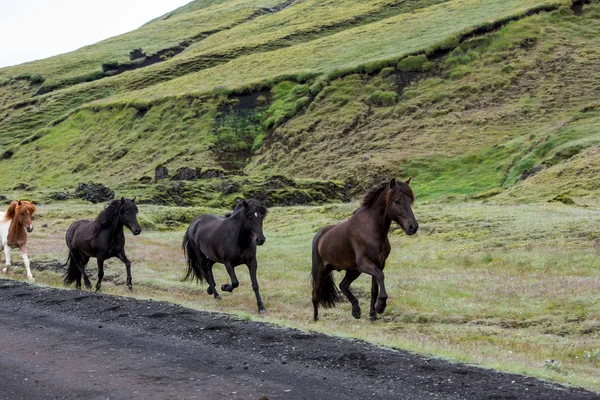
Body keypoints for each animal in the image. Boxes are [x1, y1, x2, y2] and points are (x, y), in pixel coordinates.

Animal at [310, 179, 418, 322]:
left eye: (410, 200)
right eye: (397, 201)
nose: (413, 227)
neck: (370, 228)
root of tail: (319, 235)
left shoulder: (379, 264)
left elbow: (374, 289)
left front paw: (373, 314)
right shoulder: (365, 263)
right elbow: (380, 276)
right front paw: (381, 305)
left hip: (353, 270)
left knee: (343, 285)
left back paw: (356, 310)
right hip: (321, 270)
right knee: (315, 294)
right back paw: (315, 318)